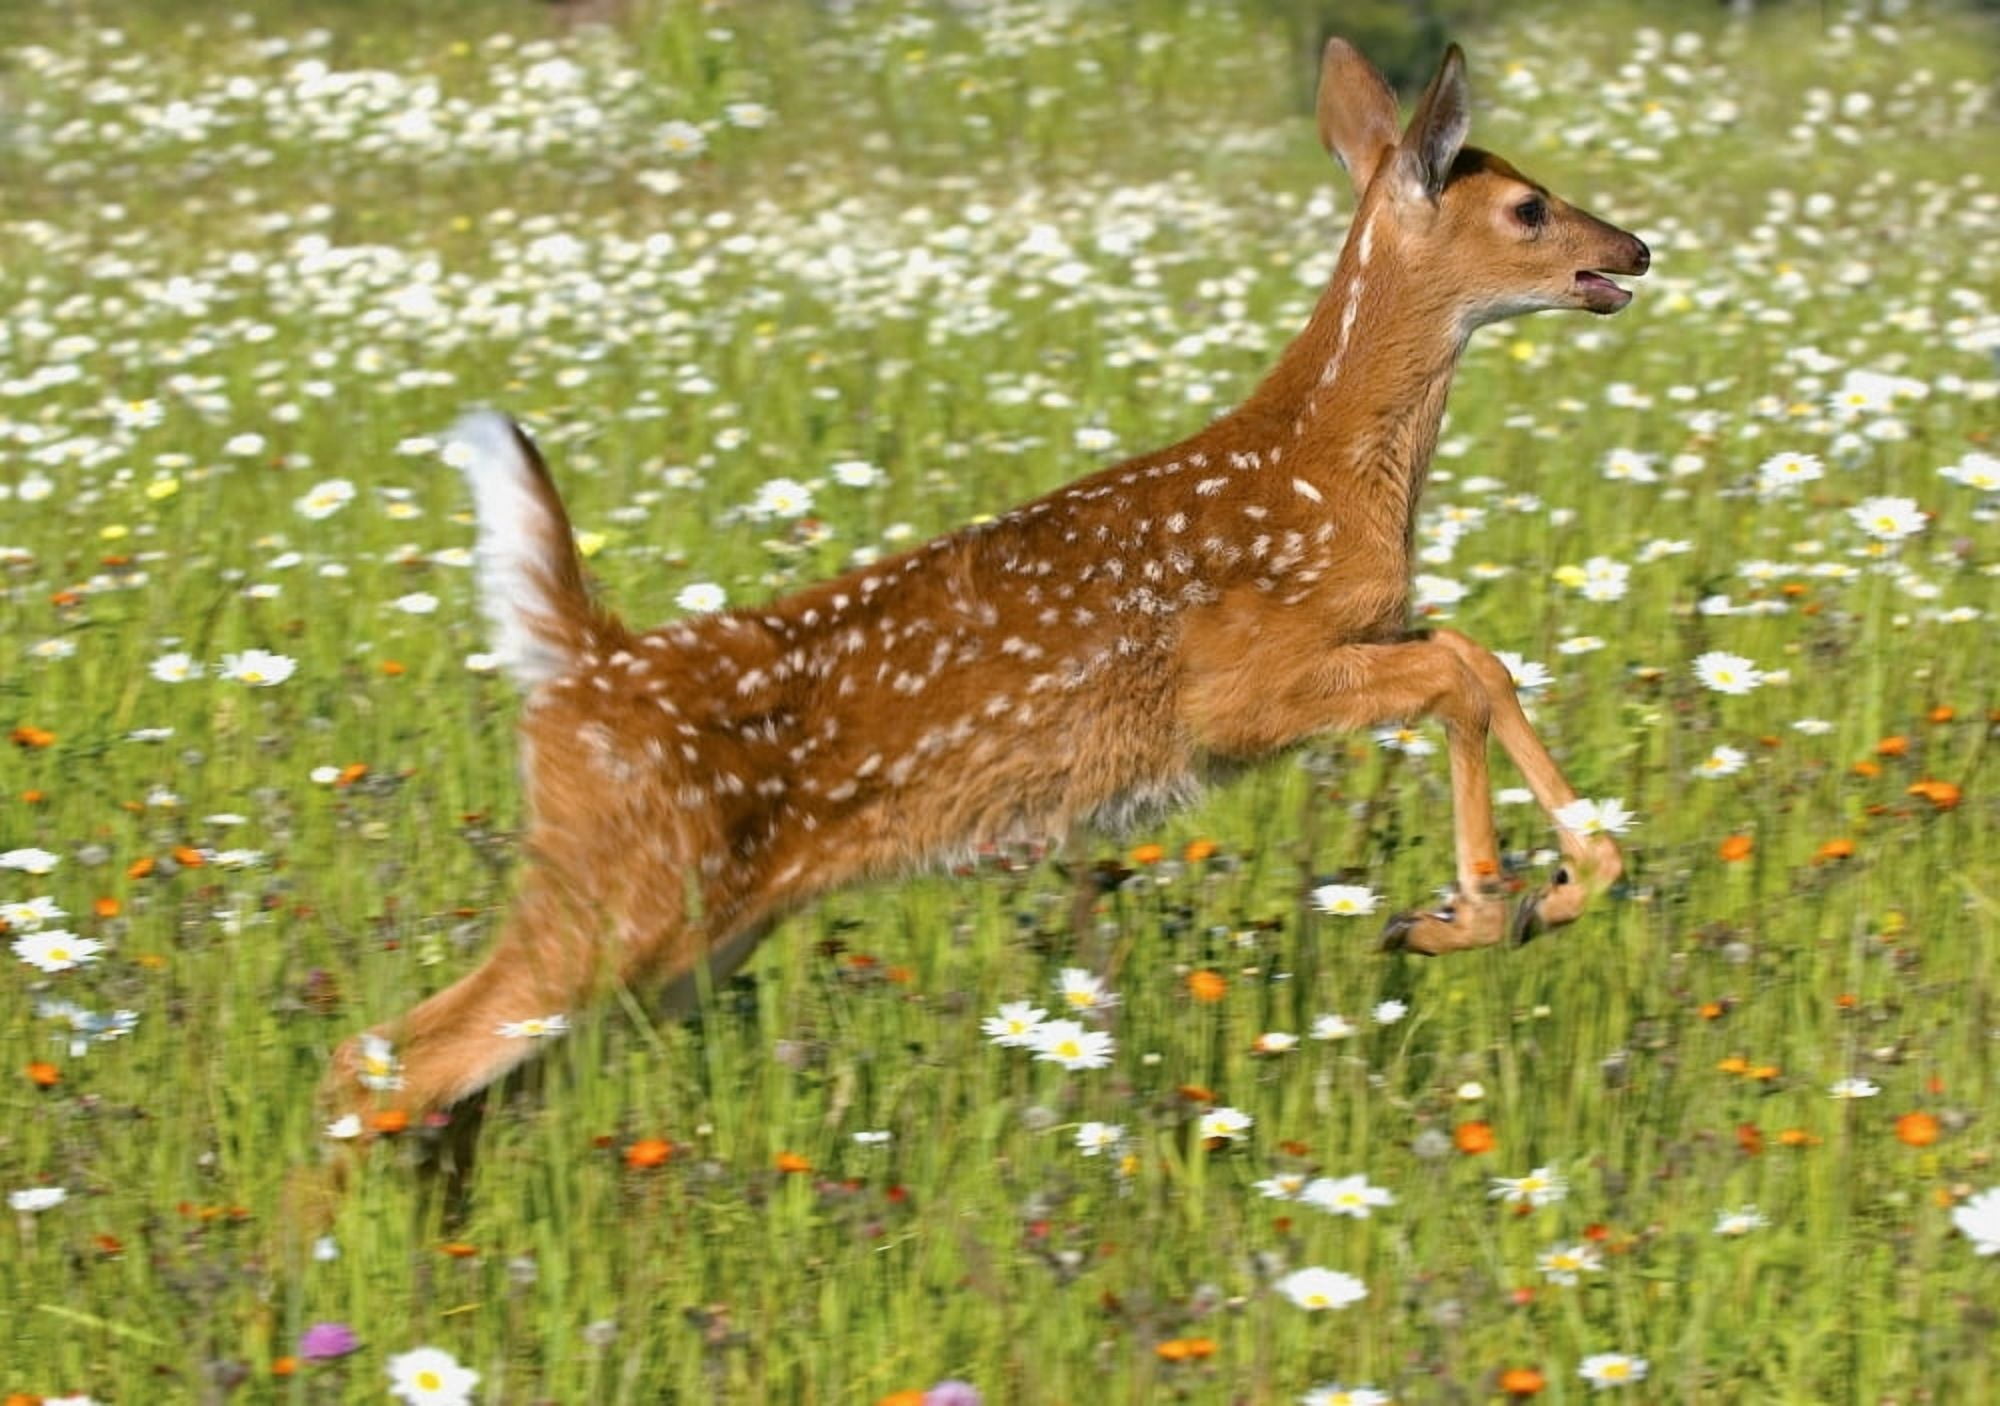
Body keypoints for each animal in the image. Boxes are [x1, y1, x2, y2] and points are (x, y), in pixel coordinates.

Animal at [312, 37, 1648, 1202]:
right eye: (1526, 207)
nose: (1632, 247)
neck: (1326, 466)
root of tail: (577, 670)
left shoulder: (1356, 637)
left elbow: (1470, 651)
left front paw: (1548, 888)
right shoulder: (1236, 687)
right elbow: (1455, 671)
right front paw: (1474, 908)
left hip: (679, 942)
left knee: (458, 1095)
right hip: (616, 897)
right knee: (380, 1060)